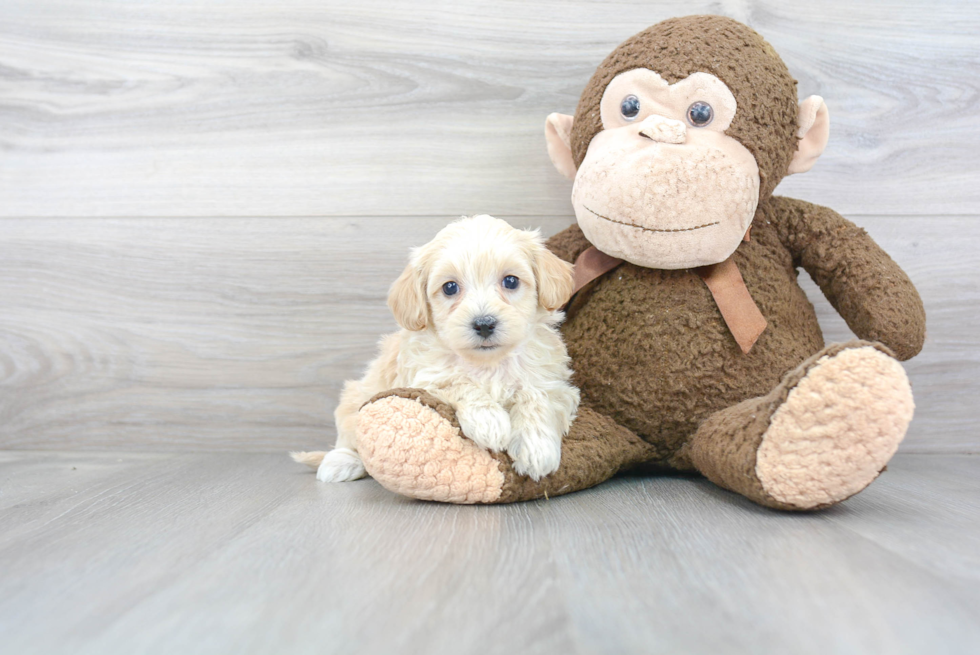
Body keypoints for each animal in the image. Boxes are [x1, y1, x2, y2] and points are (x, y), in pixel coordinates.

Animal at [294, 215, 580, 482]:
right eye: (450, 287)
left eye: (510, 281)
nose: (484, 324)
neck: (487, 363)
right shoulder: (426, 378)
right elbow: (459, 383)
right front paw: (489, 421)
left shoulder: (552, 382)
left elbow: (536, 397)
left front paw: (536, 447)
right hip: (357, 395)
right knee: (348, 435)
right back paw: (340, 462)